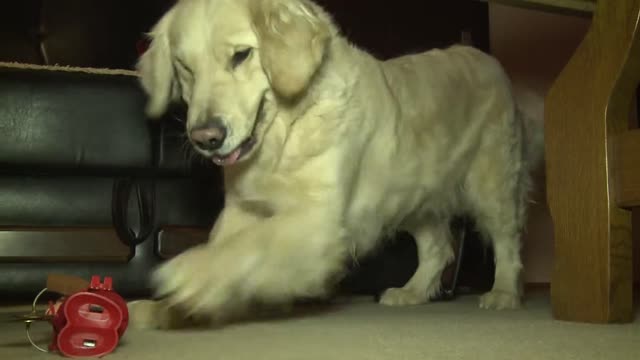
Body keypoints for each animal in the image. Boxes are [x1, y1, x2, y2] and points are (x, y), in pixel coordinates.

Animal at [127, 0, 544, 330]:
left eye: (241, 55)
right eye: (184, 68)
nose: (206, 137)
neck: (286, 131)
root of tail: (486, 58)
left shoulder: (321, 221)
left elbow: (249, 247)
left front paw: (190, 275)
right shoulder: (242, 209)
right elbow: (231, 244)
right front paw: (164, 310)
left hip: (491, 185)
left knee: (507, 242)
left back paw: (504, 293)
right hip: (410, 196)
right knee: (438, 247)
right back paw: (411, 291)